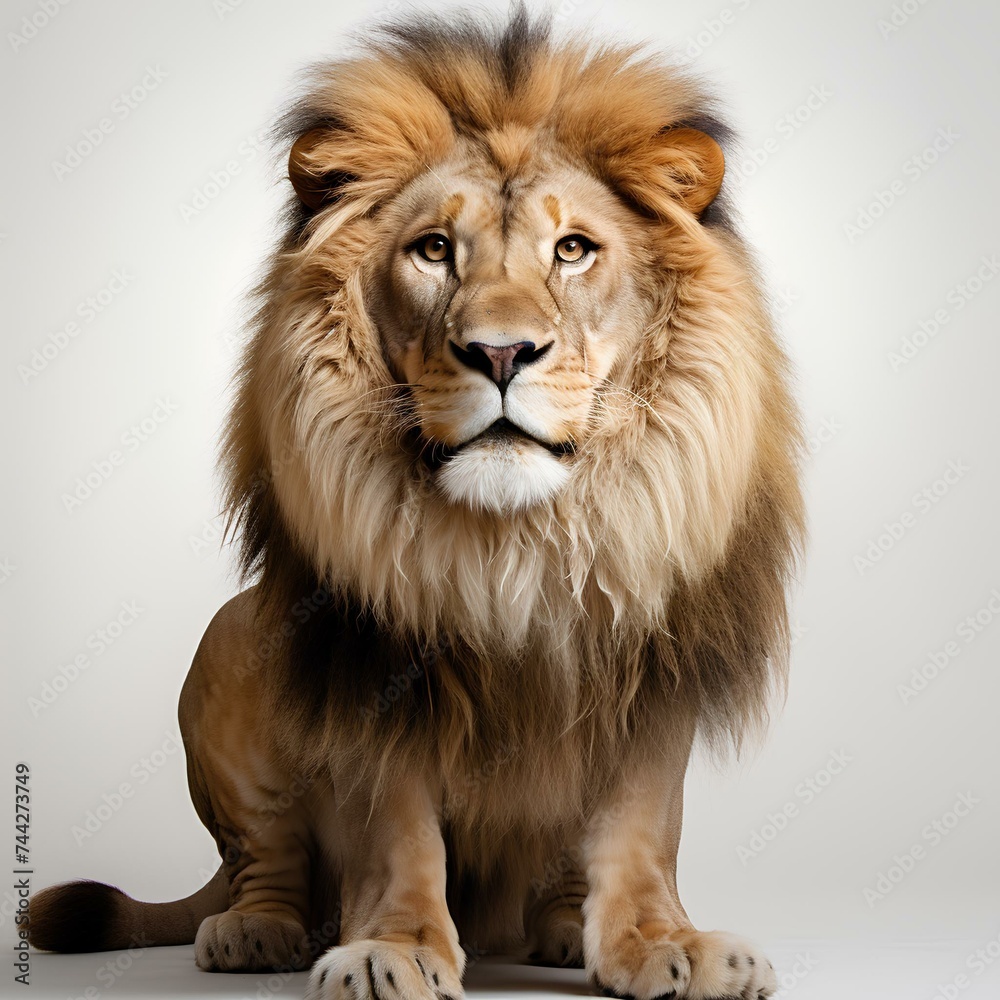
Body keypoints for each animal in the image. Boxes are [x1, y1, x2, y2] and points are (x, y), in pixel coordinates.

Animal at [28, 8, 804, 1000]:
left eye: (573, 249)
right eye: (435, 249)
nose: (502, 353)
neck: (517, 540)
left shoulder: (652, 664)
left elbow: (641, 828)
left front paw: (660, 942)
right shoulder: (372, 664)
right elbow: (395, 831)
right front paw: (391, 950)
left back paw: (563, 929)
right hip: (231, 643)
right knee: (262, 859)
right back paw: (259, 932)